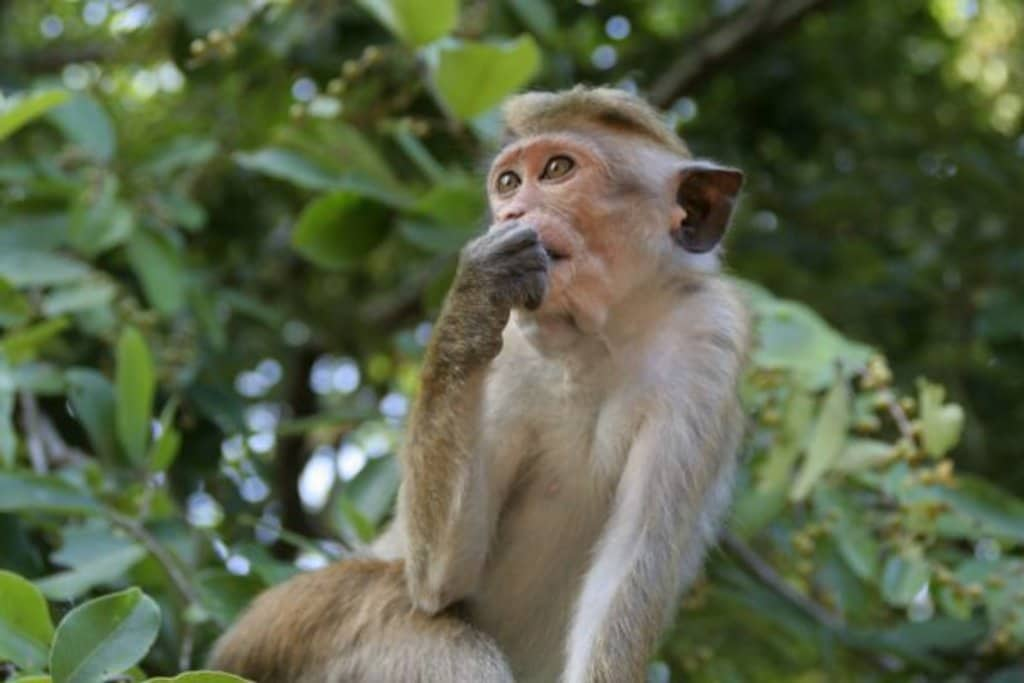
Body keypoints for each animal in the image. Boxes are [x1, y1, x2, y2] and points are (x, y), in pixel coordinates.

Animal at [209, 87, 753, 683]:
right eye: (509, 182)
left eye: (557, 169)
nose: (511, 213)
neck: (599, 340)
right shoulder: (514, 349)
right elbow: (440, 576)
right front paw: (476, 290)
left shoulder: (707, 344)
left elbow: (632, 558)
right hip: (297, 629)